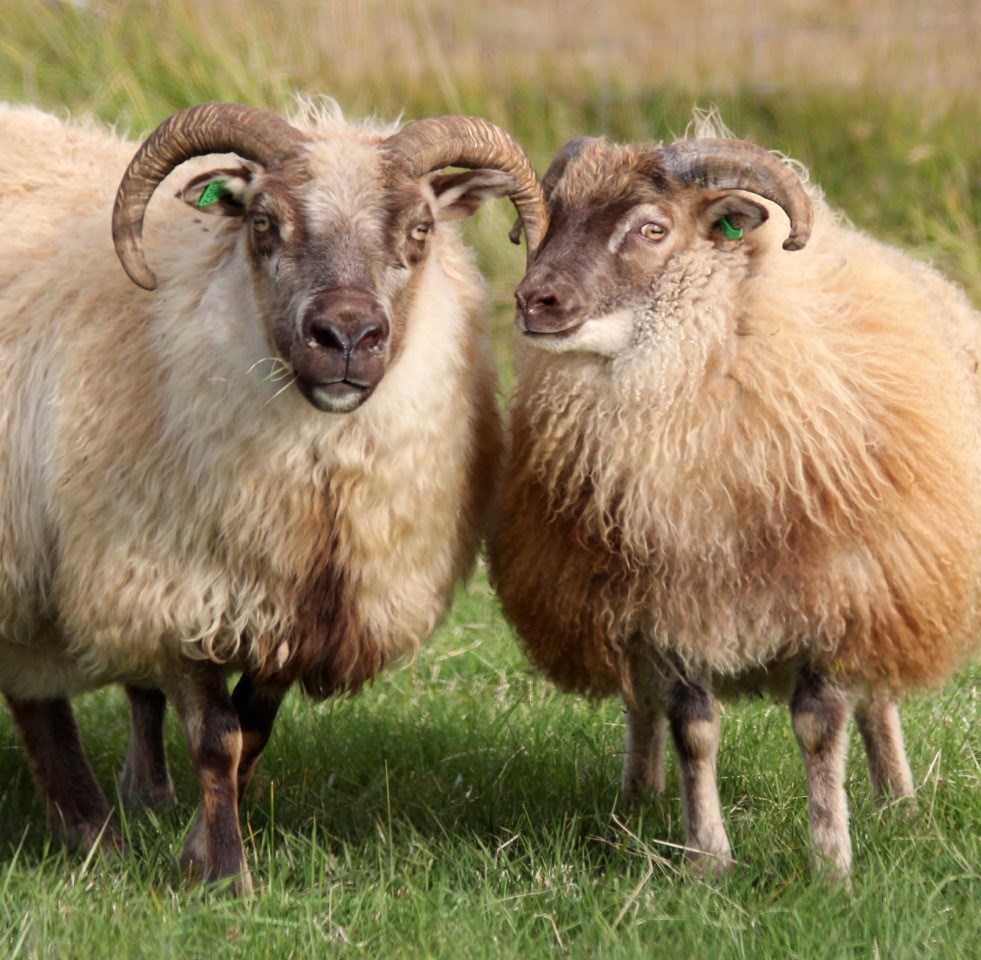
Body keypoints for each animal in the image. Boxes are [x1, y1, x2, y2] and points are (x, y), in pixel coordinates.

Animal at [0, 99, 548, 893]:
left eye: (421, 228)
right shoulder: (175, 587)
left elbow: (252, 730)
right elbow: (218, 738)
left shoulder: (294, 601)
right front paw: (226, 875)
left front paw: (194, 846)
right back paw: (91, 832)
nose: (346, 335)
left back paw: (130, 805)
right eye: (263, 222)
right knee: (35, 693)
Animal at [488, 122, 981, 875]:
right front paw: (707, 860)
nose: (534, 301)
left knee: (878, 699)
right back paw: (636, 796)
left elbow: (820, 727)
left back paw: (897, 802)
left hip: (895, 579)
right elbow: (692, 729)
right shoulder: (666, 608)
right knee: (640, 704)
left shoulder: (834, 594)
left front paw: (830, 863)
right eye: (553, 217)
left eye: (652, 228)